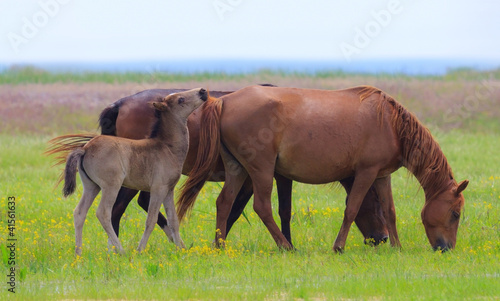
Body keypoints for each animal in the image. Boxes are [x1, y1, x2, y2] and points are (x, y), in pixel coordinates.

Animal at [51, 88, 206, 254]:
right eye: (181, 99)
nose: (202, 91)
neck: (167, 147)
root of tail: (85, 149)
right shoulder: (158, 188)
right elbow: (151, 220)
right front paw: (140, 250)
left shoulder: (169, 189)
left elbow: (173, 220)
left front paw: (181, 249)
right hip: (111, 185)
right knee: (103, 213)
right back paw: (121, 251)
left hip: (92, 186)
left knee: (79, 212)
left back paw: (78, 253)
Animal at [96, 87, 390, 246]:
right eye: (374, 205)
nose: (383, 237)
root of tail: (119, 104)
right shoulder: (264, 176)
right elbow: (267, 209)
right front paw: (286, 243)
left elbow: (244, 209)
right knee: (120, 208)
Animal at [177, 85, 468, 252]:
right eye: (455, 214)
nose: (446, 248)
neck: (391, 122)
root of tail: (224, 101)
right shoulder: (366, 173)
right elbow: (352, 209)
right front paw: (338, 246)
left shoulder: (382, 176)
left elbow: (390, 211)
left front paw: (397, 247)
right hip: (261, 170)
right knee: (262, 207)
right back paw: (285, 246)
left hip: (238, 169)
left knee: (224, 202)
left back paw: (220, 246)